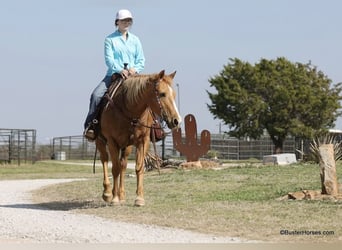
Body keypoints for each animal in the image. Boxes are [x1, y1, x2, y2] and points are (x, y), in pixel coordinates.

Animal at [95, 71, 182, 207]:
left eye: (174, 94)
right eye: (162, 94)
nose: (177, 120)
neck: (129, 111)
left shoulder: (143, 141)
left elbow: (139, 168)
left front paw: (139, 198)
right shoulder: (112, 141)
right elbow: (114, 169)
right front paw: (114, 199)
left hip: (127, 146)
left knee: (123, 165)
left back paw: (122, 195)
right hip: (100, 141)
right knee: (104, 160)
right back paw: (108, 193)